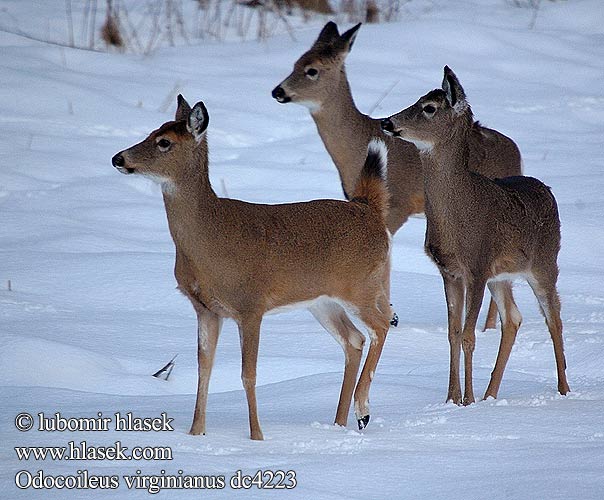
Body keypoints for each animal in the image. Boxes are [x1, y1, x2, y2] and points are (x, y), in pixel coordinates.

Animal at [112, 94, 394, 438]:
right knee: (354, 340)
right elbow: (204, 368)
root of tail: (369, 210)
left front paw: (256, 436)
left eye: (164, 142)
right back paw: (340, 422)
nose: (118, 158)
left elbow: (249, 374)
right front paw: (196, 433)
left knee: (381, 326)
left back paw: (362, 409)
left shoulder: (251, 305)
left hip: (360, 286)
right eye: (152, 131)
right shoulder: (206, 309)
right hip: (322, 302)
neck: (209, 242)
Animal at [272, 21, 520, 332]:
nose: (277, 91)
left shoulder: (398, 204)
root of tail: (516, 152)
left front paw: (392, 315)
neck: (356, 146)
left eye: (312, 70)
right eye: (295, 62)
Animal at [382, 66, 572, 404]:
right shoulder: (450, 271)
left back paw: (564, 389)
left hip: (545, 262)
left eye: (429, 108)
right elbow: (453, 333)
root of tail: (546, 188)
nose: (387, 122)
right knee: (513, 318)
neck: (458, 222)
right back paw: (490, 395)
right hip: (502, 276)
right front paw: (451, 399)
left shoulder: (478, 266)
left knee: (554, 317)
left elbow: (469, 336)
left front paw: (466, 400)